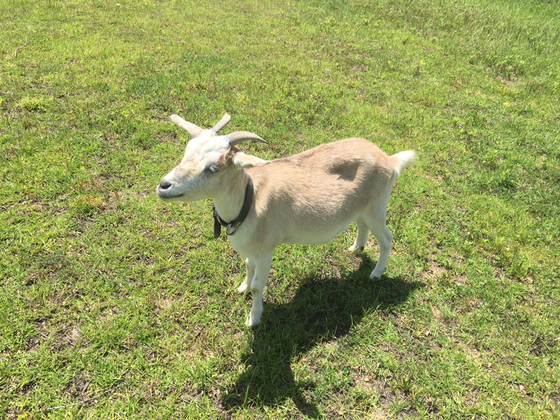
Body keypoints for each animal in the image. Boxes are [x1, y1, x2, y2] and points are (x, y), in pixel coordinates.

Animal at [158, 114, 416, 328]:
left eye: (214, 167)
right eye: (186, 152)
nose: (163, 186)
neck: (249, 201)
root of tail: (390, 159)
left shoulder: (265, 251)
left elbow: (257, 287)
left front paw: (253, 319)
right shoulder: (252, 249)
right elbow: (247, 267)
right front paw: (241, 287)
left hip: (377, 206)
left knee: (386, 238)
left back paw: (376, 273)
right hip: (362, 208)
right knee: (362, 226)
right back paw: (356, 249)